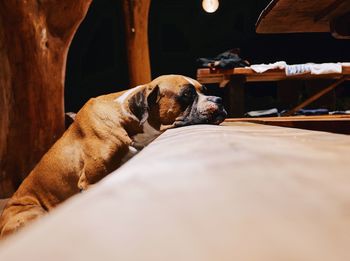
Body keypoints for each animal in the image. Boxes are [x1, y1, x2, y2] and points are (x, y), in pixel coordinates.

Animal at [0, 74, 227, 237]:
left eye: (203, 90)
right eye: (187, 95)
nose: (219, 99)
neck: (128, 119)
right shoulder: (92, 182)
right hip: (33, 213)